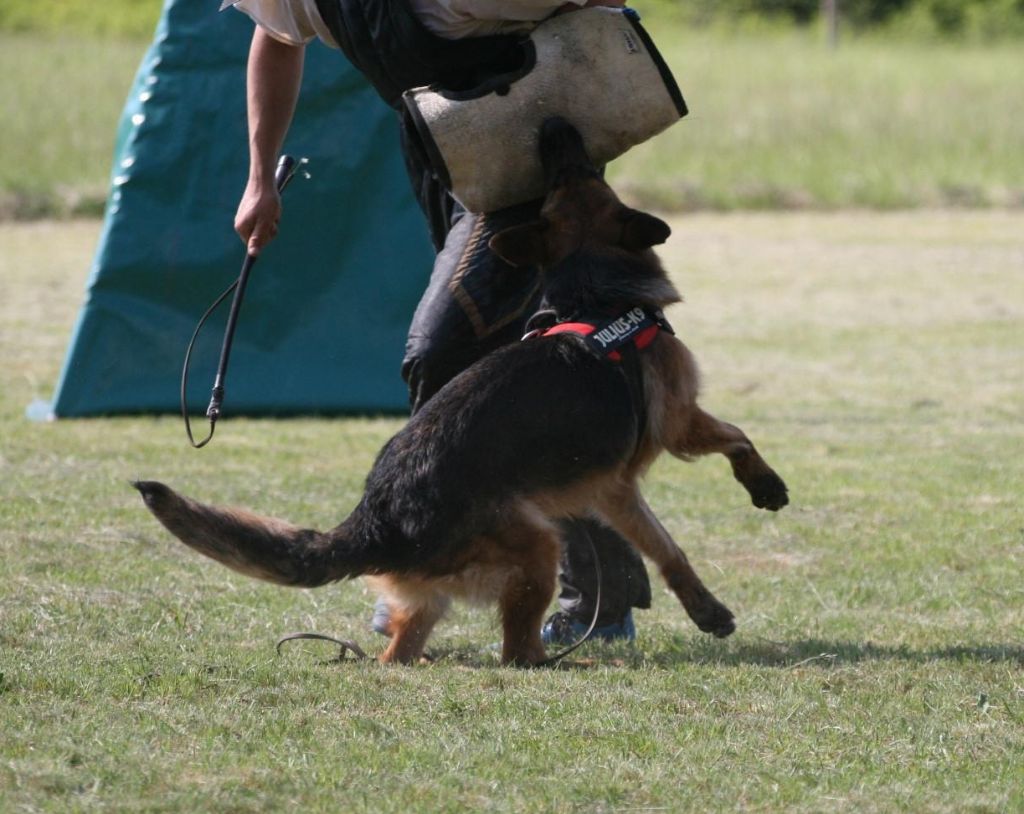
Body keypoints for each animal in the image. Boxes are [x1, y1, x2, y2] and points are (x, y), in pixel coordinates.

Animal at [134, 117, 790, 663]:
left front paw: (705, 609)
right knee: (516, 653)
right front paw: (766, 486)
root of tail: (376, 519)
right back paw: (561, 663)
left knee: (399, 654)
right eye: (574, 172)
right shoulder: (678, 423)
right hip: (538, 543)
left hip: (441, 592)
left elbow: (666, 548)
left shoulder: (613, 492)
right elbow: (736, 436)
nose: (554, 129)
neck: (592, 294)